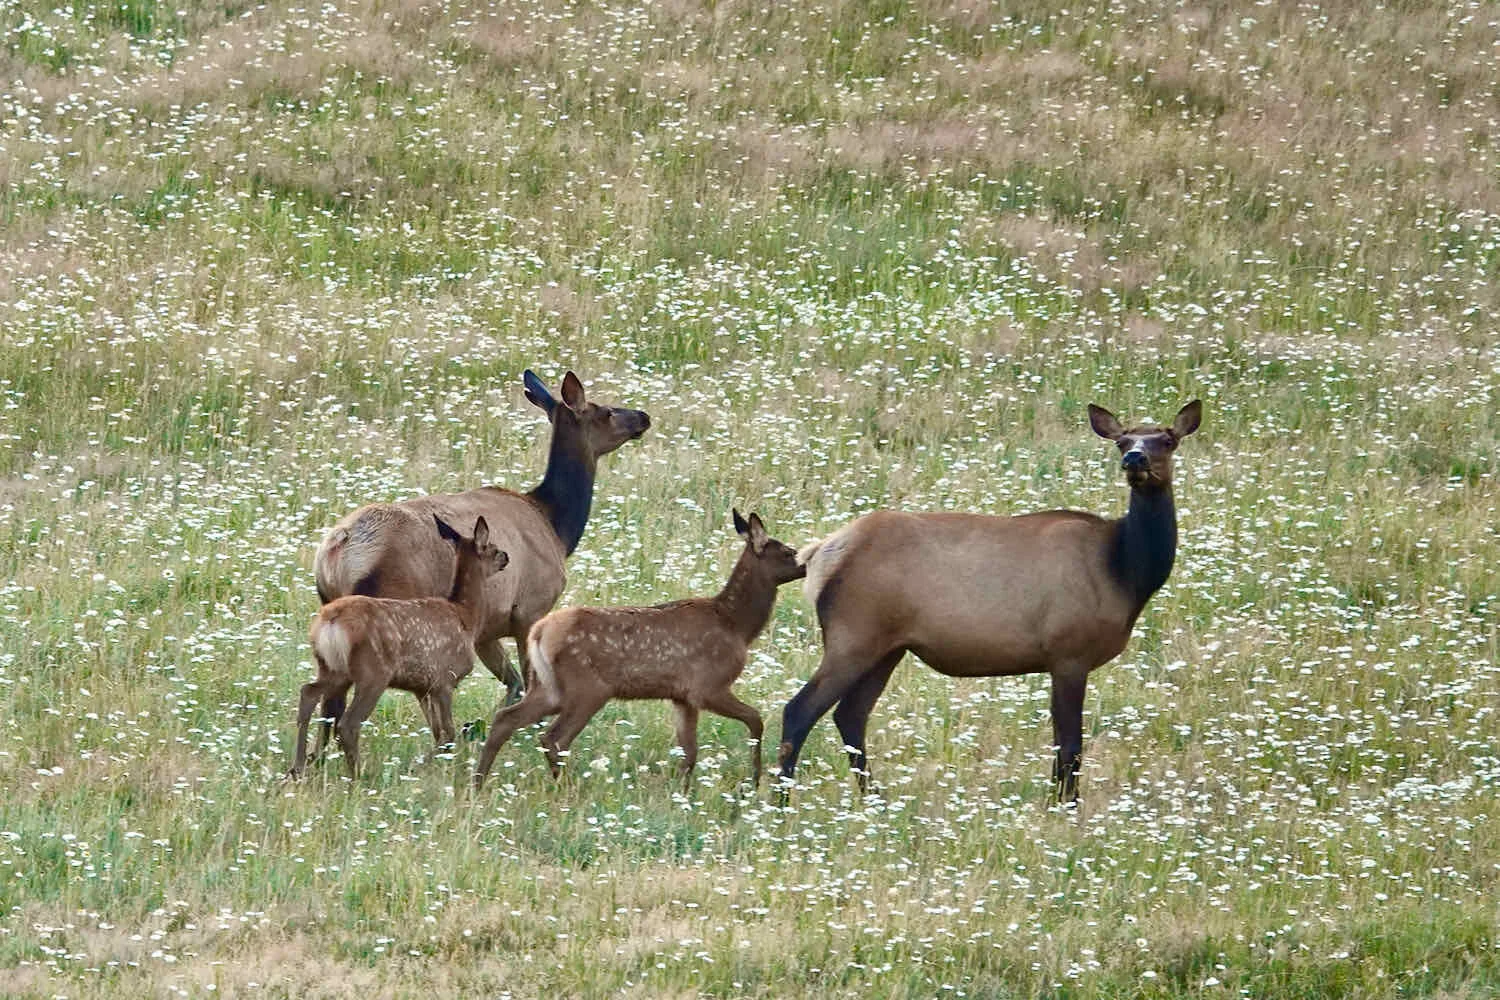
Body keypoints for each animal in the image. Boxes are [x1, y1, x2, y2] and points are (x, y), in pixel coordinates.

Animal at [290, 515, 510, 779]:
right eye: (492, 548)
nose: (506, 556)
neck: (466, 617)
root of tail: (330, 621)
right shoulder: (445, 680)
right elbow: (448, 733)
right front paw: (418, 766)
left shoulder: (422, 687)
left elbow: (438, 732)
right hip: (372, 672)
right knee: (348, 724)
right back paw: (358, 776)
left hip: (333, 668)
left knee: (308, 693)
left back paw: (298, 767)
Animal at [312, 370, 650, 748]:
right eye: (606, 410)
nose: (643, 416)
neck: (557, 528)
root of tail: (336, 551)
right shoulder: (530, 609)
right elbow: (529, 683)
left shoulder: (487, 628)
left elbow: (513, 681)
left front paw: (480, 726)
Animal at [472, 510, 807, 793]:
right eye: (788, 552)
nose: (806, 564)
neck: (736, 625)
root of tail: (539, 632)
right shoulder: (707, 685)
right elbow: (755, 719)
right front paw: (754, 780)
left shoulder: (682, 697)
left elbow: (689, 753)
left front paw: (681, 797)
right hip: (588, 687)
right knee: (554, 738)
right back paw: (568, 789)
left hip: (548, 686)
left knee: (506, 719)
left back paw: (479, 783)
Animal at [778, 400, 1202, 803]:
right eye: (1123, 441)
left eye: (1167, 439)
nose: (1135, 460)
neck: (1125, 572)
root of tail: (818, 554)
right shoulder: (1069, 651)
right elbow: (1070, 745)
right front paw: (1066, 807)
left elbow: (1061, 745)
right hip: (853, 635)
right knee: (799, 710)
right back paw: (781, 804)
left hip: (887, 647)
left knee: (850, 715)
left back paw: (875, 801)